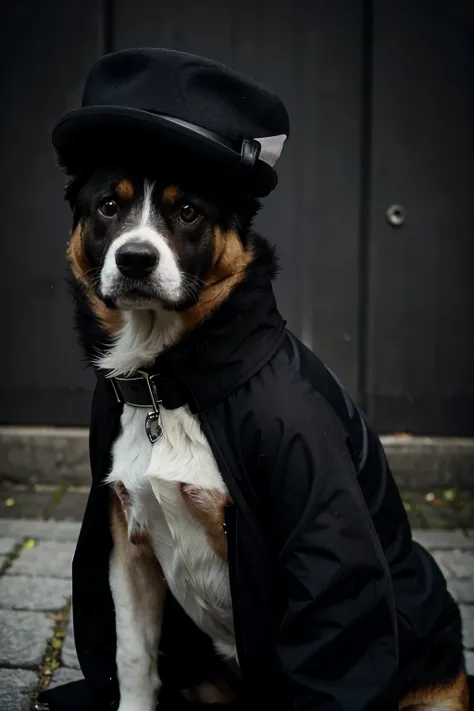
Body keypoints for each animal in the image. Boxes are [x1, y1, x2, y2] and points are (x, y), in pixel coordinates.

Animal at [67, 171, 470, 711]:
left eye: (189, 211)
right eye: (109, 206)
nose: (135, 259)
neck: (166, 387)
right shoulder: (128, 550)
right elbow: (133, 657)